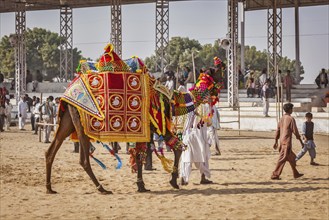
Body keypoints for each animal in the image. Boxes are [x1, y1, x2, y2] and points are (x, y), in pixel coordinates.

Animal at [44, 44, 222, 194]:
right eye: (217, 70)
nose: (222, 65)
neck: (170, 99)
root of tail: (68, 92)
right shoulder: (157, 124)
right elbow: (176, 148)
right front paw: (173, 182)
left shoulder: (145, 129)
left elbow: (139, 154)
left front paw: (141, 185)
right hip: (82, 125)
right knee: (83, 160)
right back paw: (102, 188)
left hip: (67, 120)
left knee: (51, 151)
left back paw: (49, 188)